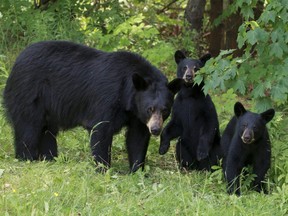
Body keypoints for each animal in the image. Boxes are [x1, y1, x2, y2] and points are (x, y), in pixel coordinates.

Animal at [3, 40, 181, 172]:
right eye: (150, 109)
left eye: (165, 110)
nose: (156, 129)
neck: (127, 96)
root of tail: (16, 62)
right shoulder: (107, 98)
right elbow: (100, 129)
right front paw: (104, 168)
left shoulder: (136, 114)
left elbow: (137, 138)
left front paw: (137, 170)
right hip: (29, 94)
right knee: (28, 128)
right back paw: (27, 158)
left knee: (47, 131)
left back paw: (51, 158)